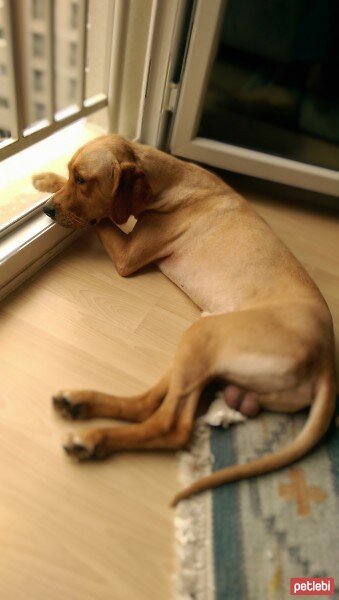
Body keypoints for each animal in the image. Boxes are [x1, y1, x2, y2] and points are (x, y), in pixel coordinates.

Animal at [32, 135, 338, 506]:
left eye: (83, 180)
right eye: (71, 173)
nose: (47, 210)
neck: (170, 181)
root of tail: (327, 362)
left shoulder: (127, 257)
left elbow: (102, 218)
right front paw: (46, 180)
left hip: (203, 334)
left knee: (168, 425)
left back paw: (91, 439)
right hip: (202, 343)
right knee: (147, 404)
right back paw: (80, 403)